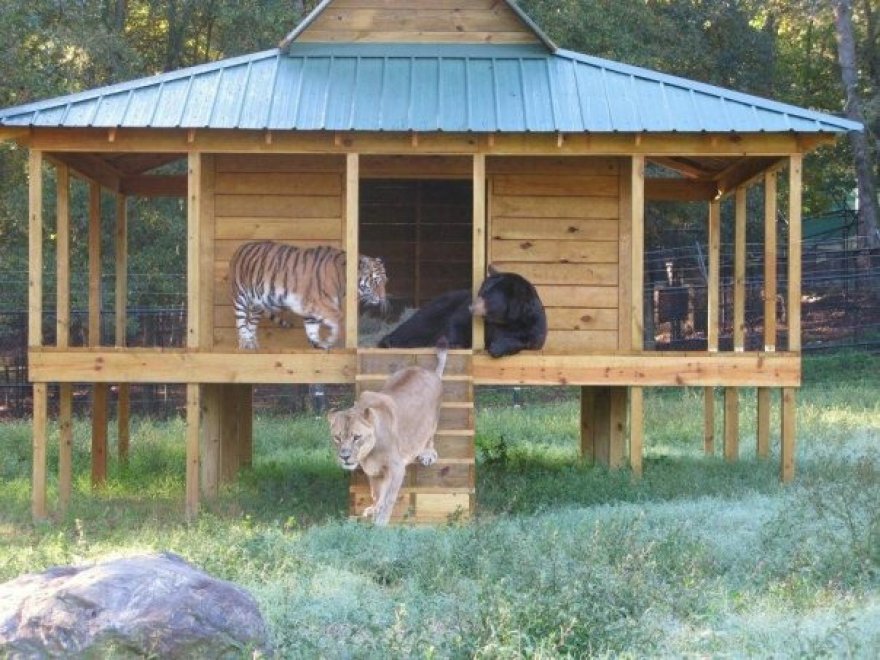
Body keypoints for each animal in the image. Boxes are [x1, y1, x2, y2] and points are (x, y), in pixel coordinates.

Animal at [229, 241, 387, 350]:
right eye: (375, 281)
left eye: (385, 281)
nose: (382, 298)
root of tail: (239, 248)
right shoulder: (319, 302)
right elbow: (339, 318)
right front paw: (330, 339)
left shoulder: (310, 308)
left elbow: (312, 328)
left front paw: (318, 344)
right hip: (240, 296)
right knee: (241, 322)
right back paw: (245, 343)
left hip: (257, 304)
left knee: (251, 323)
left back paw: (252, 343)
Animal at [328, 343, 448, 525]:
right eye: (337, 437)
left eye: (356, 437)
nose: (344, 457)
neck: (369, 453)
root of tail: (431, 372)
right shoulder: (374, 472)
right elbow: (377, 494)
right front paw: (374, 510)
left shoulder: (397, 468)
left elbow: (389, 497)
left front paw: (380, 523)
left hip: (432, 420)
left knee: (429, 436)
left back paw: (427, 453)